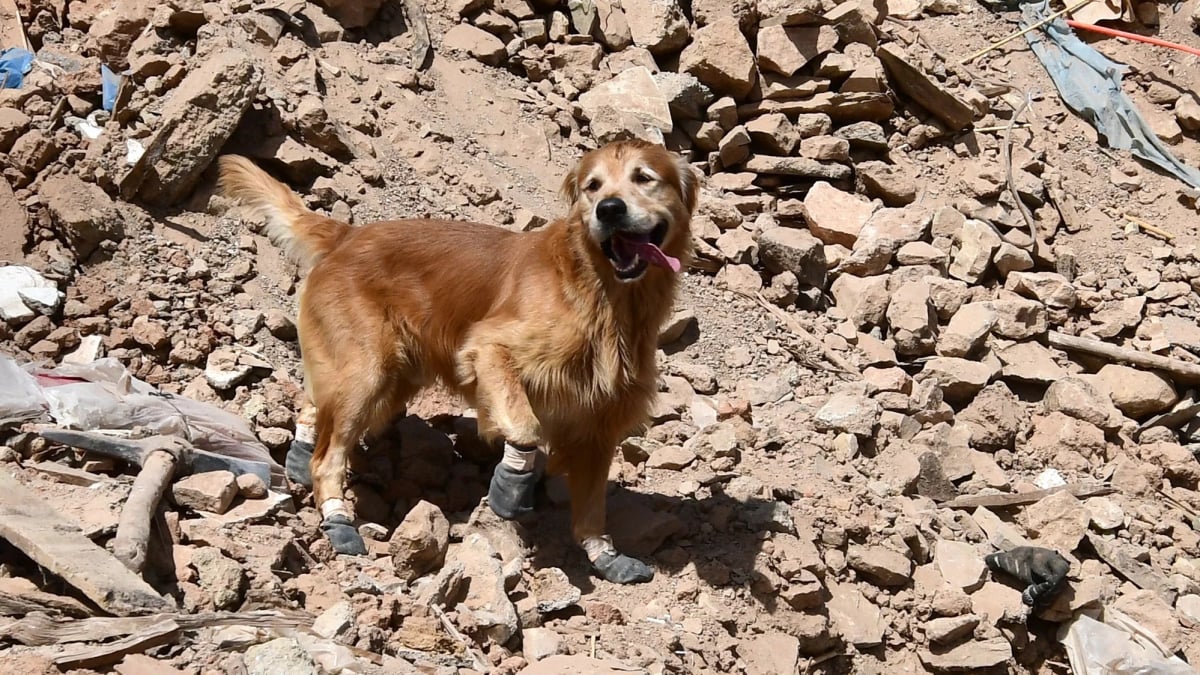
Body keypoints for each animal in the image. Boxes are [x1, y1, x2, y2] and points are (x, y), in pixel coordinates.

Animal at [220, 139, 700, 581]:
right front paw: (511, 485)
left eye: (643, 177)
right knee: (329, 455)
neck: (603, 293)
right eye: (592, 186)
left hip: (388, 376)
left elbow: (591, 507)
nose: (609, 210)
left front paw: (604, 554)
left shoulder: (599, 423)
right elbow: (525, 426)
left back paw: (300, 454)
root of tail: (348, 234)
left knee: (317, 405)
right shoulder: (488, 347)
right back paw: (338, 519)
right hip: (368, 372)